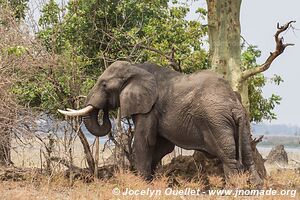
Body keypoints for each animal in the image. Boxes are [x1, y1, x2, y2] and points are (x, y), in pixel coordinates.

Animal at [58, 61, 262, 186]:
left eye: (104, 85)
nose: (106, 111)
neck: (135, 68)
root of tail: (233, 103)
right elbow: (162, 147)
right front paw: (152, 181)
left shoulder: (149, 108)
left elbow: (144, 141)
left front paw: (142, 184)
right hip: (242, 120)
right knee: (246, 153)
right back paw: (253, 188)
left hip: (216, 121)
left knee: (228, 157)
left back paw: (233, 189)